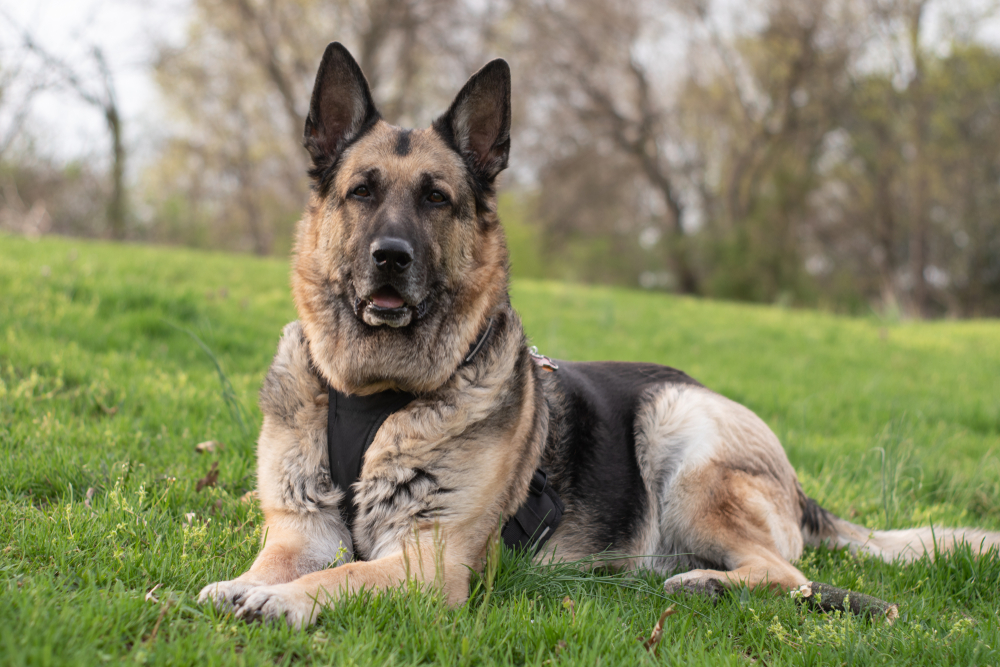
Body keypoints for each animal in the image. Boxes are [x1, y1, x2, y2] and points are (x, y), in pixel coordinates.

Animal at [199, 41, 1000, 628]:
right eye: (361, 191)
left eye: (437, 199)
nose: (389, 258)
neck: (373, 392)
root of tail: (798, 487)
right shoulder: (299, 530)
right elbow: (282, 559)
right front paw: (247, 583)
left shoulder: (428, 563)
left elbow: (346, 574)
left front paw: (280, 600)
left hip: (685, 443)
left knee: (786, 573)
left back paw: (707, 582)